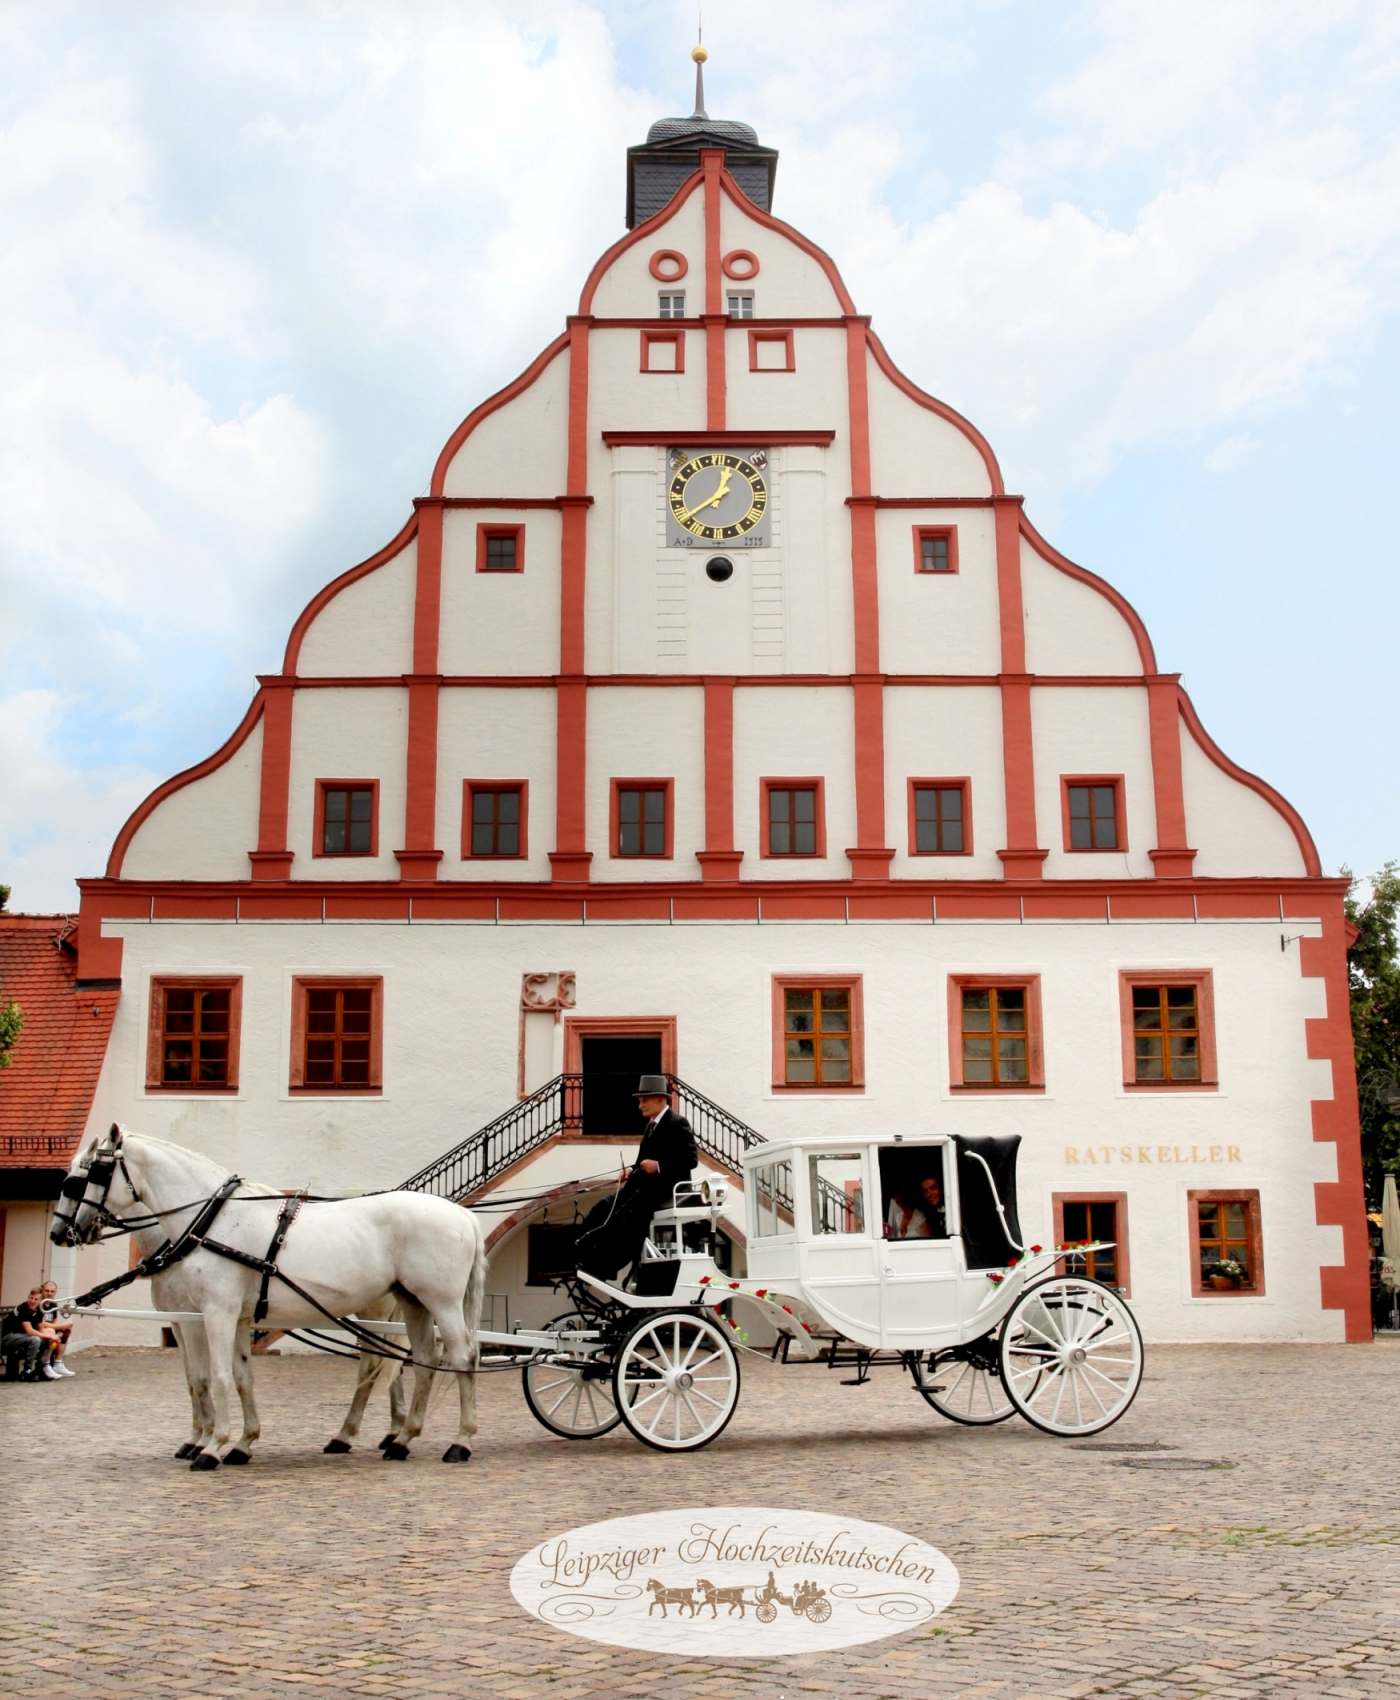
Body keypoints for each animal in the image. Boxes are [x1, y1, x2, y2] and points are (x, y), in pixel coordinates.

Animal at [54, 1122, 482, 1468]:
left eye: (86, 1175)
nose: (61, 1233)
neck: (213, 1222)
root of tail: (462, 1215)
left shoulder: (214, 1313)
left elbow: (216, 1377)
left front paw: (211, 1447)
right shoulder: (236, 1317)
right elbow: (242, 1377)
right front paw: (243, 1443)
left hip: (440, 1301)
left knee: (460, 1357)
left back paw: (460, 1441)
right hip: (413, 1302)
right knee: (423, 1361)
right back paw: (402, 1439)